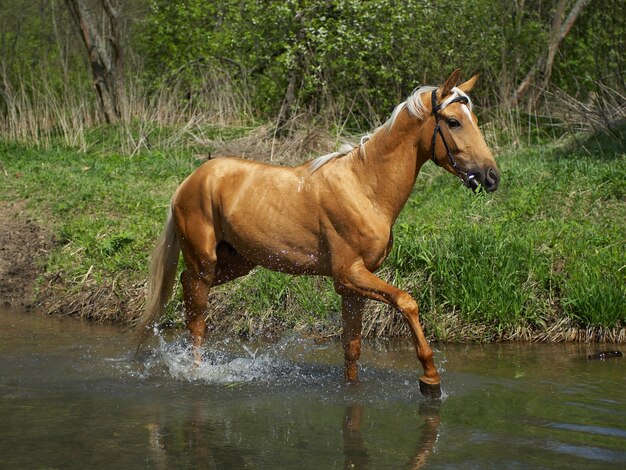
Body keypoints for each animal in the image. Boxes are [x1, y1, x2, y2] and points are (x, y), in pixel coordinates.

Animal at [136, 70, 498, 398]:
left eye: (473, 118)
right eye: (453, 122)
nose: (491, 176)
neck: (365, 187)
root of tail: (190, 181)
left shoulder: (354, 287)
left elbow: (352, 349)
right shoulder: (348, 275)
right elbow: (407, 302)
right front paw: (430, 379)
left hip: (237, 262)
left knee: (185, 287)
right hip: (204, 261)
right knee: (195, 314)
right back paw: (195, 370)